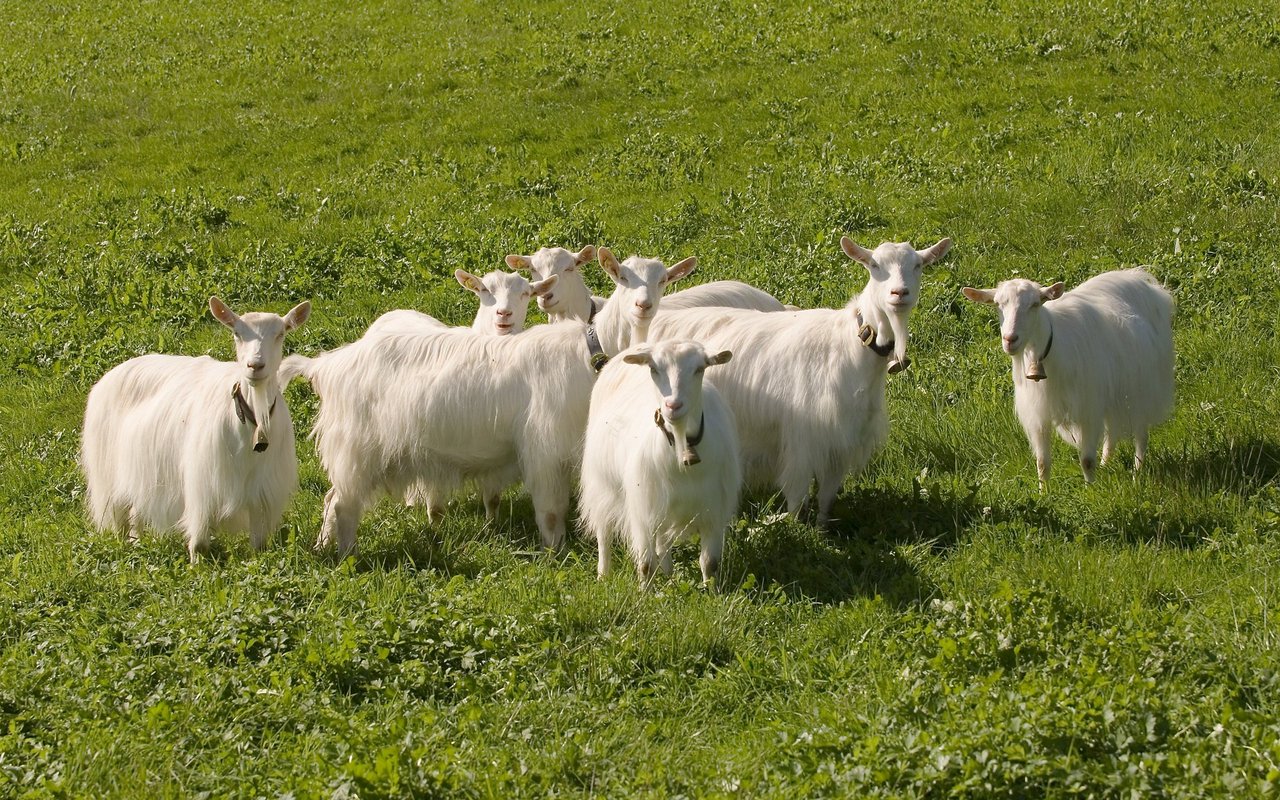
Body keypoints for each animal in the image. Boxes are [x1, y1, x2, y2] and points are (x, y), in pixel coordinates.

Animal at [83, 294, 312, 560]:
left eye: (281, 333)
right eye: (237, 333)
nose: (255, 366)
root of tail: (110, 375)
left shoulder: (262, 489)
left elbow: (259, 544)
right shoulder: (203, 480)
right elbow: (200, 540)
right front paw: (196, 563)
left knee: (135, 510)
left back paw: (137, 542)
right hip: (108, 471)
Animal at [285, 247, 696, 552]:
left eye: (663, 280)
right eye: (622, 277)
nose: (643, 306)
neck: (591, 351)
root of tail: (329, 364)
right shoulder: (543, 447)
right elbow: (551, 513)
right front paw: (556, 556)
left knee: (331, 498)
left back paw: (324, 546)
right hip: (357, 447)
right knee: (344, 504)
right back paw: (346, 554)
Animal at [650, 235, 952, 524]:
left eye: (918, 265)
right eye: (874, 265)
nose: (899, 293)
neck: (848, 346)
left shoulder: (840, 444)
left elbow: (827, 498)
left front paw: (822, 529)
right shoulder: (802, 442)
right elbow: (797, 501)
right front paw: (799, 530)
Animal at [962, 266, 1177, 486]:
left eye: (1035, 304)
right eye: (998, 304)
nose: (1010, 339)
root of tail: (1143, 279)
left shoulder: (1088, 408)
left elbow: (1087, 460)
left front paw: (1091, 489)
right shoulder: (1040, 412)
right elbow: (1042, 463)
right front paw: (1044, 491)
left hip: (1143, 385)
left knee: (1142, 432)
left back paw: (1137, 472)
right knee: (1111, 430)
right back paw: (1106, 463)